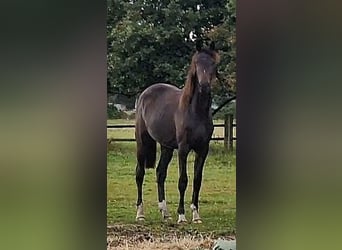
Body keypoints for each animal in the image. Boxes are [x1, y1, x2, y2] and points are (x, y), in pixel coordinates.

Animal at [134, 42, 219, 224]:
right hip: (142, 142)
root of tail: (145, 94)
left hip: (166, 147)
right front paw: (182, 215)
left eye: (213, 64)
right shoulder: (183, 148)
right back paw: (140, 213)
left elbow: (197, 180)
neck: (195, 111)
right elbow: (183, 180)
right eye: (196, 63)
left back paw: (165, 213)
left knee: (160, 173)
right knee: (139, 173)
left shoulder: (203, 149)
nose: (204, 86)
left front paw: (196, 215)